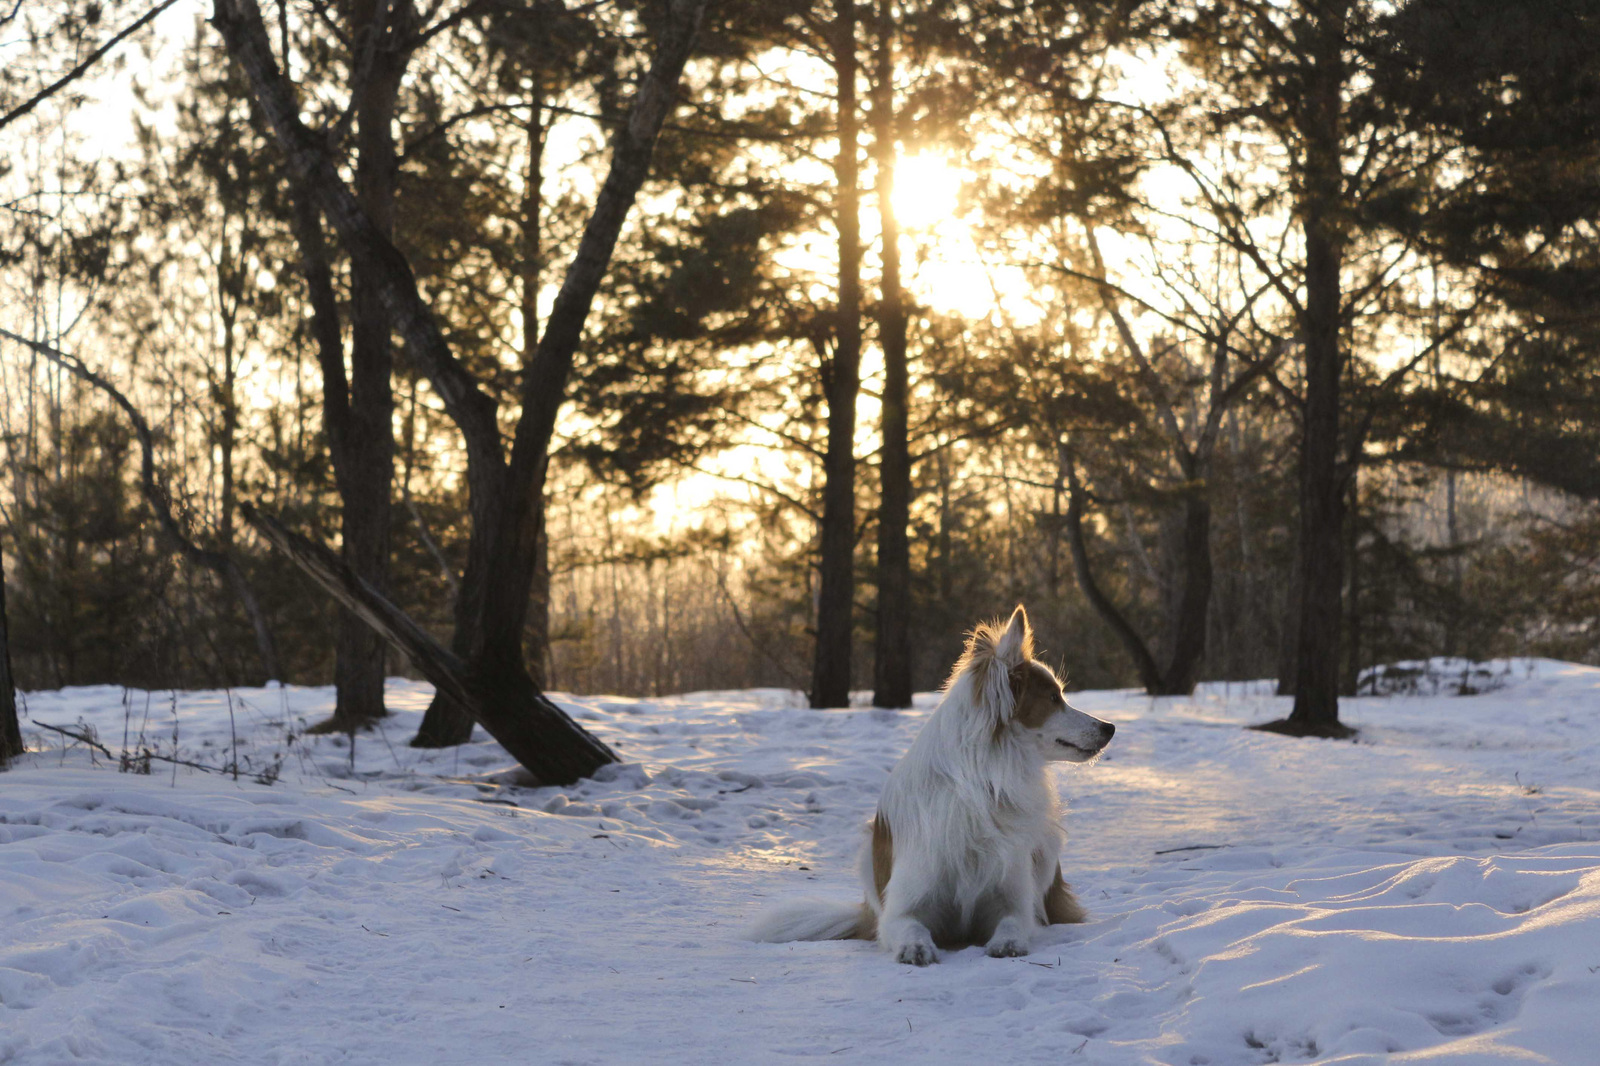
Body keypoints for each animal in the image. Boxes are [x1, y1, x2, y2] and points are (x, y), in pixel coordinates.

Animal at [748, 601, 1113, 960]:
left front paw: (1007, 943)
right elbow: (910, 927)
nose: (1109, 727)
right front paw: (915, 947)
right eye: (1053, 699)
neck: (981, 784)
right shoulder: (903, 908)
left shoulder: (1013, 899)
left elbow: (1014, 922)